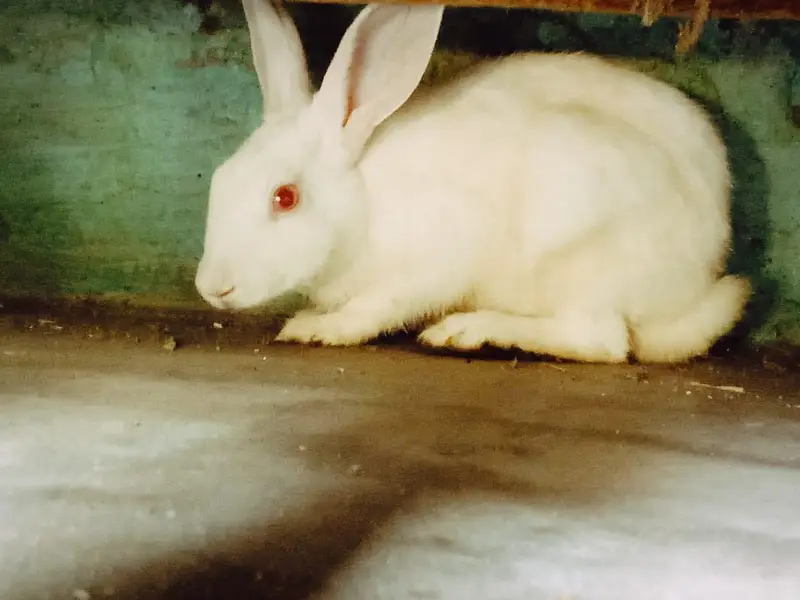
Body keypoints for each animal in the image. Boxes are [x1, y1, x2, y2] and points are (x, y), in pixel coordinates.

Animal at [194, 0, 751, 364]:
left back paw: (467, 331)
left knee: (603, 342)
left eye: (285, 197)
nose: (212, 287)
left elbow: (376, 307)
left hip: (585, 259)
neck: (366, 204)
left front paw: (317, 328)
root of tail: (697, 282)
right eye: (219, 180)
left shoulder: (434, 261)